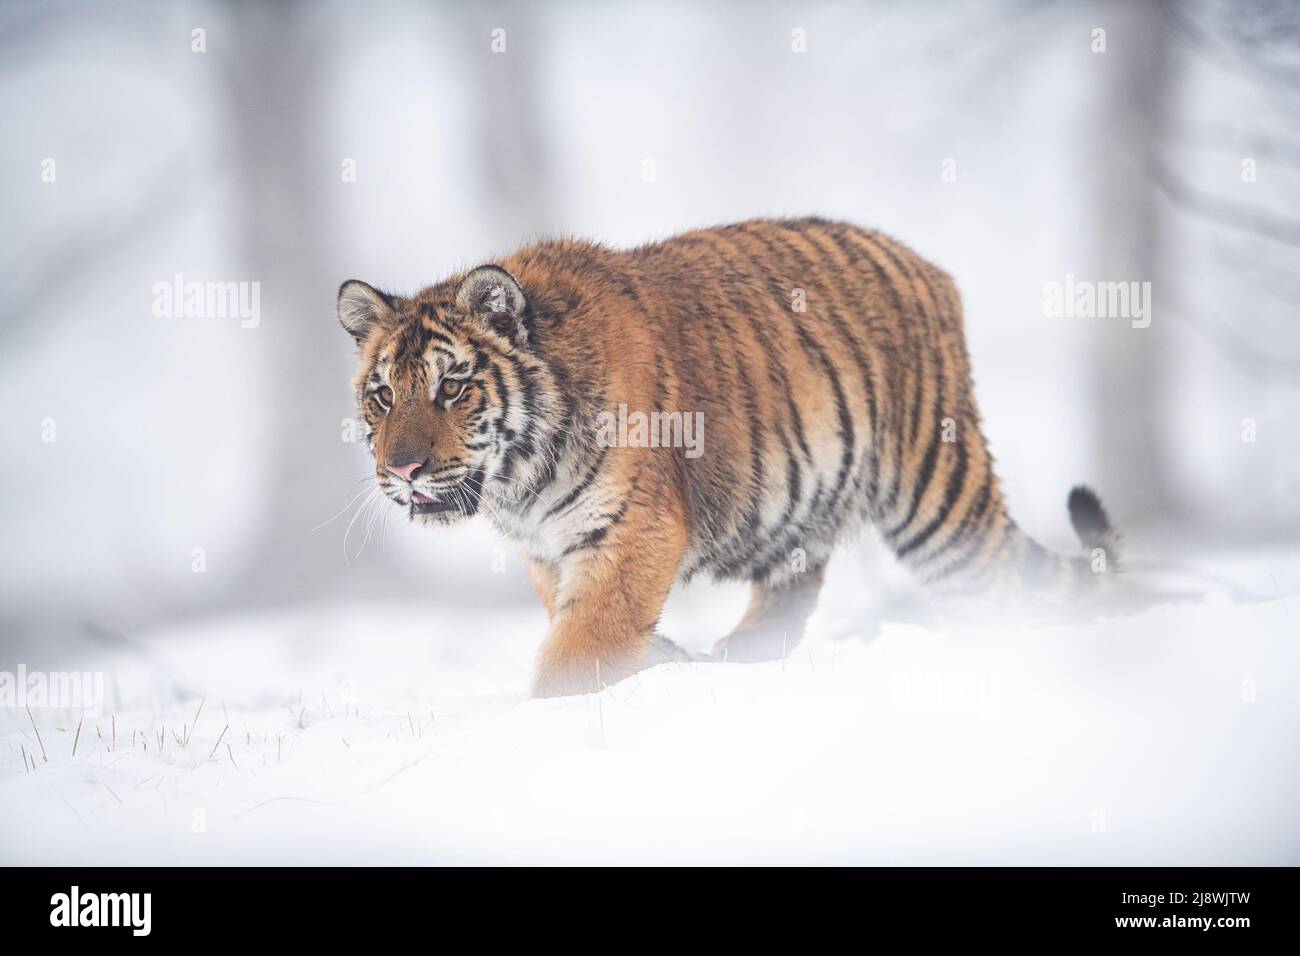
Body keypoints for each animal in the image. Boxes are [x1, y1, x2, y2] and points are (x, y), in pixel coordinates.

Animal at [340, 214, 1123, 697]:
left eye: (451, 387)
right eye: (383, 395)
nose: (403, 469)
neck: (519, 484)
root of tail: (927, 266)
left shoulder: (631, 530)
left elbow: (580, 645)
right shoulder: (547, 553)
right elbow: (578, 621)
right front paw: (660, 660)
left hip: (939, 496)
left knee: (999, 590)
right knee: (795, 589)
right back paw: (730, 658)